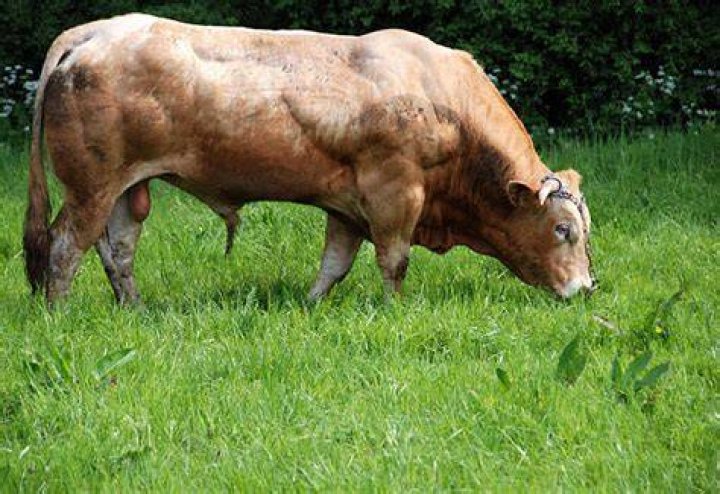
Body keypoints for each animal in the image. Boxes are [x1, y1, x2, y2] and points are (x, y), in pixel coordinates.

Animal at [23, 13, 596, 306]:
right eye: (563, 229)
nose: (587, 287)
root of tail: (93, 31)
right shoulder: (395, 192)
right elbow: (394, 261)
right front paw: (395, 311)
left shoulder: (347, 206)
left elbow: (334, 266)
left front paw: (310, 307)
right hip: (90, 186)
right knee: (64, 247)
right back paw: (59, 313)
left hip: (125, 189)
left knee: (117, 252)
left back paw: (136, 311)